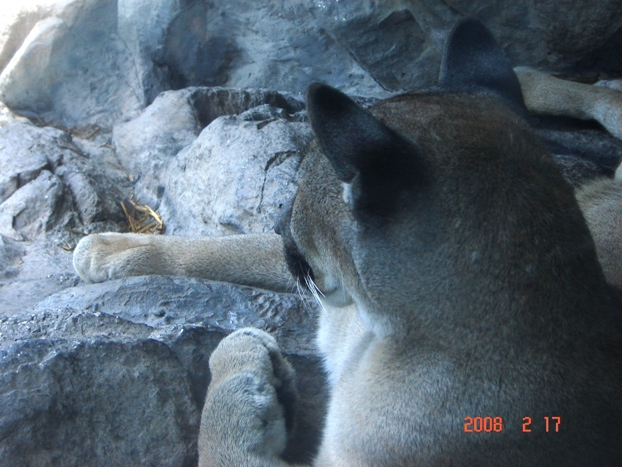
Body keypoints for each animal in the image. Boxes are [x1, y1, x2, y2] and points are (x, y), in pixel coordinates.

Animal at [75, 19, 620, 467]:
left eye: (298, 188)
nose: (281, 219)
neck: (387, 336)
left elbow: (215, 447)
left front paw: (238, 363)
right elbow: (232, 249)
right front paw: (110, 250)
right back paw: (540, 78)